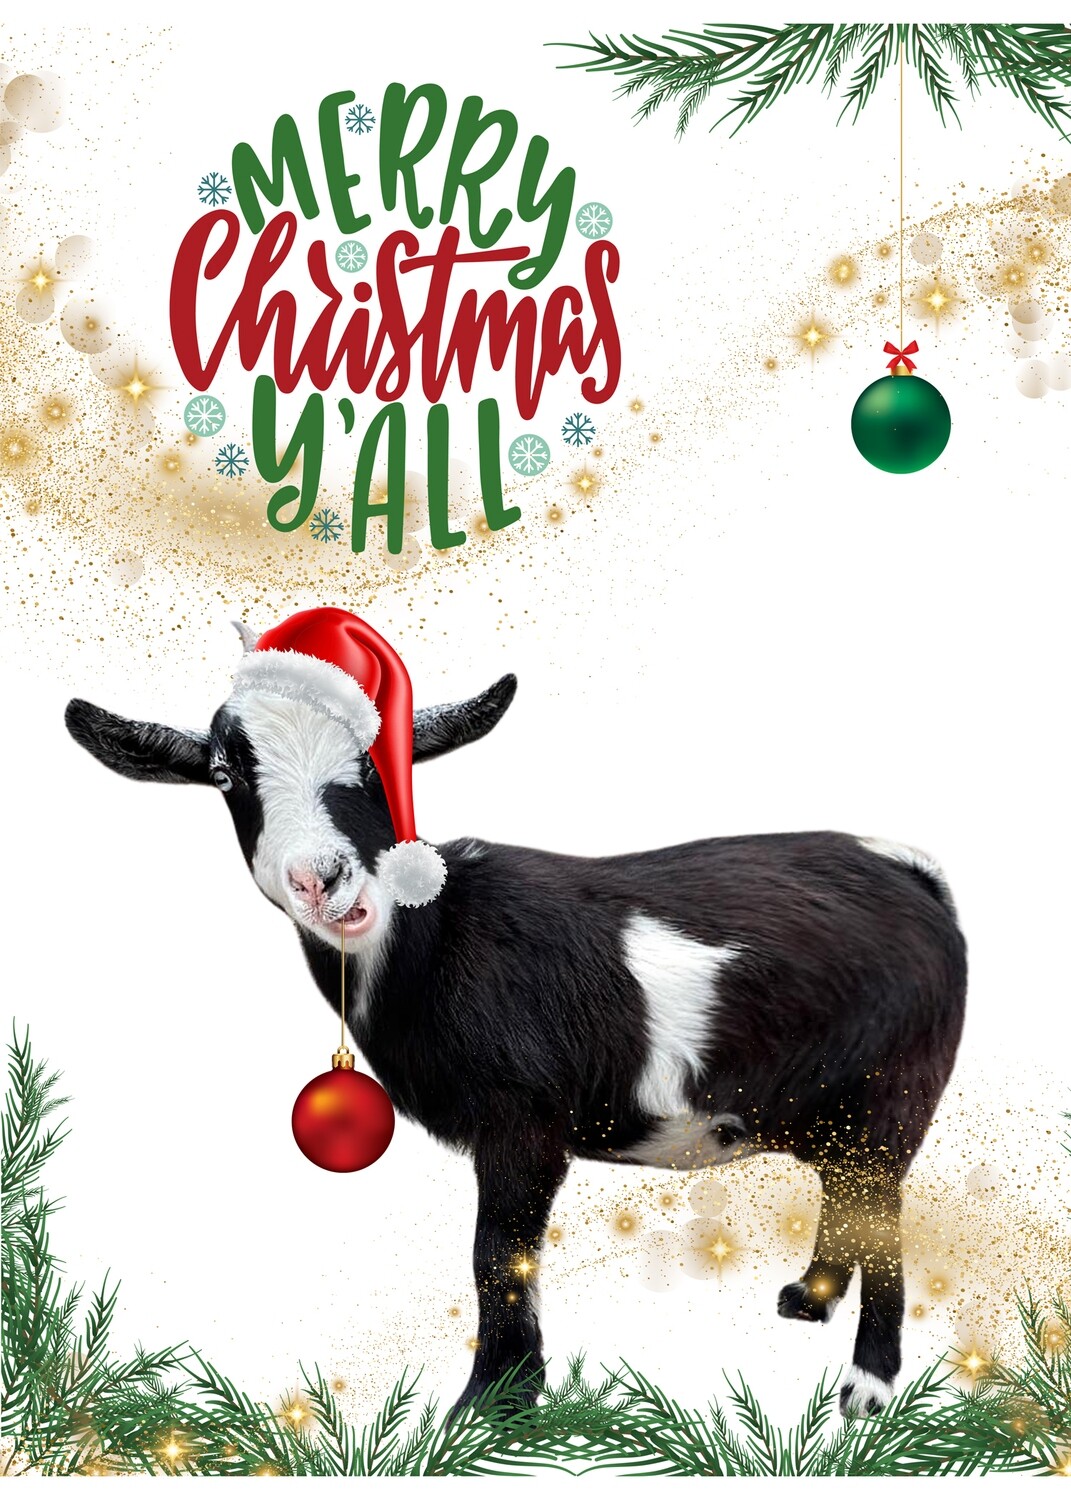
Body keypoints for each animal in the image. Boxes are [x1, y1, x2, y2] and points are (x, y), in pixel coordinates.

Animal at [64, 627, 966, 1418]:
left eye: (378, 761)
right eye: (225, 773)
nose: (322, 878)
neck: (434, 938)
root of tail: (913, 874)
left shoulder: (523, 1118)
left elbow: (496, 1251)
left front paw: (490, 1404)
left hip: (894, 1090)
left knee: (881, 1209)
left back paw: (866, 1387)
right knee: (847, 1194)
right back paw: (806, 1300)